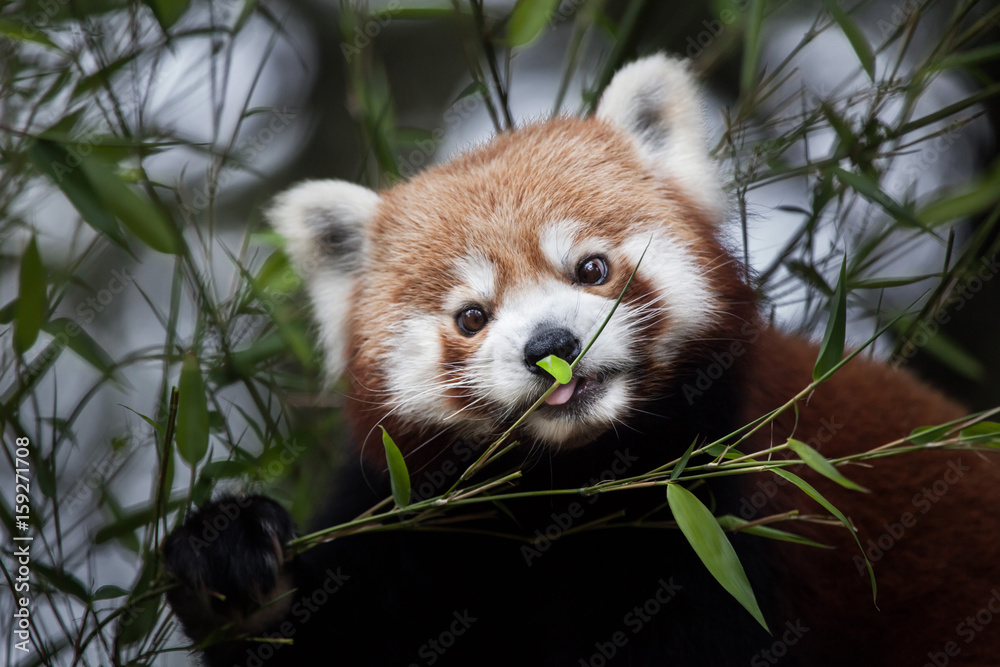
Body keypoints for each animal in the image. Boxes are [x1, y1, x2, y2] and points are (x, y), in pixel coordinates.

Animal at [163, 55, 1000, 666]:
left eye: (591, 269)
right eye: (472, 317)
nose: (552, 348)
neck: (566, 491)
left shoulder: (722, 511)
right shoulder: (417, 522)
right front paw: (232, 566)